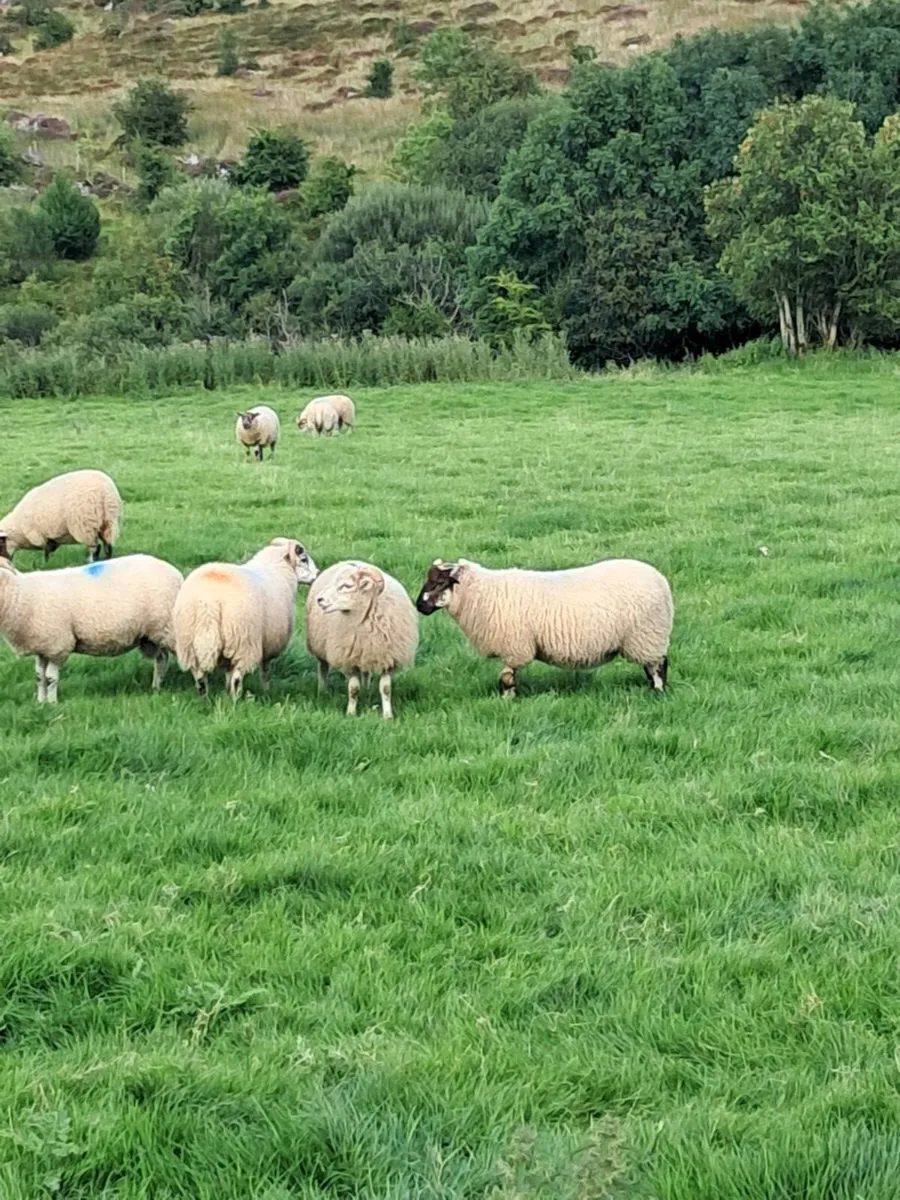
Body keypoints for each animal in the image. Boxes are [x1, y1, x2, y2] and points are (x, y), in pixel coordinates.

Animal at [0, 553, 184, 703]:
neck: (19, 593)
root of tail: (176, 573)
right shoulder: (42, 648)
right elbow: (39, 677)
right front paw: (40, 702)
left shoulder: (58, 646)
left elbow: (51, 678)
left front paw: (52, 703)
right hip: (153, 634)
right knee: (162, 658)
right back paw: (156, 687)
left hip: (169, 628)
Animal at [174, 537, 318, 699]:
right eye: (304, 559)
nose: (318, 574)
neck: (278, 568)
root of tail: (209, 603)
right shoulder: (269, 642)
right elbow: (265, 670)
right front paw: (266, 690)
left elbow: (228, 671)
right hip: (243, 640)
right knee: (237, 675)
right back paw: (235, 698)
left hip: (190, 643)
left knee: (199, 675)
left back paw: (204, 696)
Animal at [306, 560, 418, 719]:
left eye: (346, 586)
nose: (320, 600)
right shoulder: (350, 660)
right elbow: (353, 689)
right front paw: (351, 713)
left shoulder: (386, 658)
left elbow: (386, 689)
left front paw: (388, 715)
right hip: (320, 646)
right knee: (323, 668)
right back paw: (322, 691)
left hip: (366, 653)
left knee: (366, 672)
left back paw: (367, 690)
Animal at [415, 557, 673, 698]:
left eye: (438, 582)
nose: (419, 606)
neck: (482, 592)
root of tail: (660, 579)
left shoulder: (515, 647)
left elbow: (506, 678)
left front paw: (507, 700)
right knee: (651, 666)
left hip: (647, 635)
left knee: (659, 665)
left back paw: (658, 692)